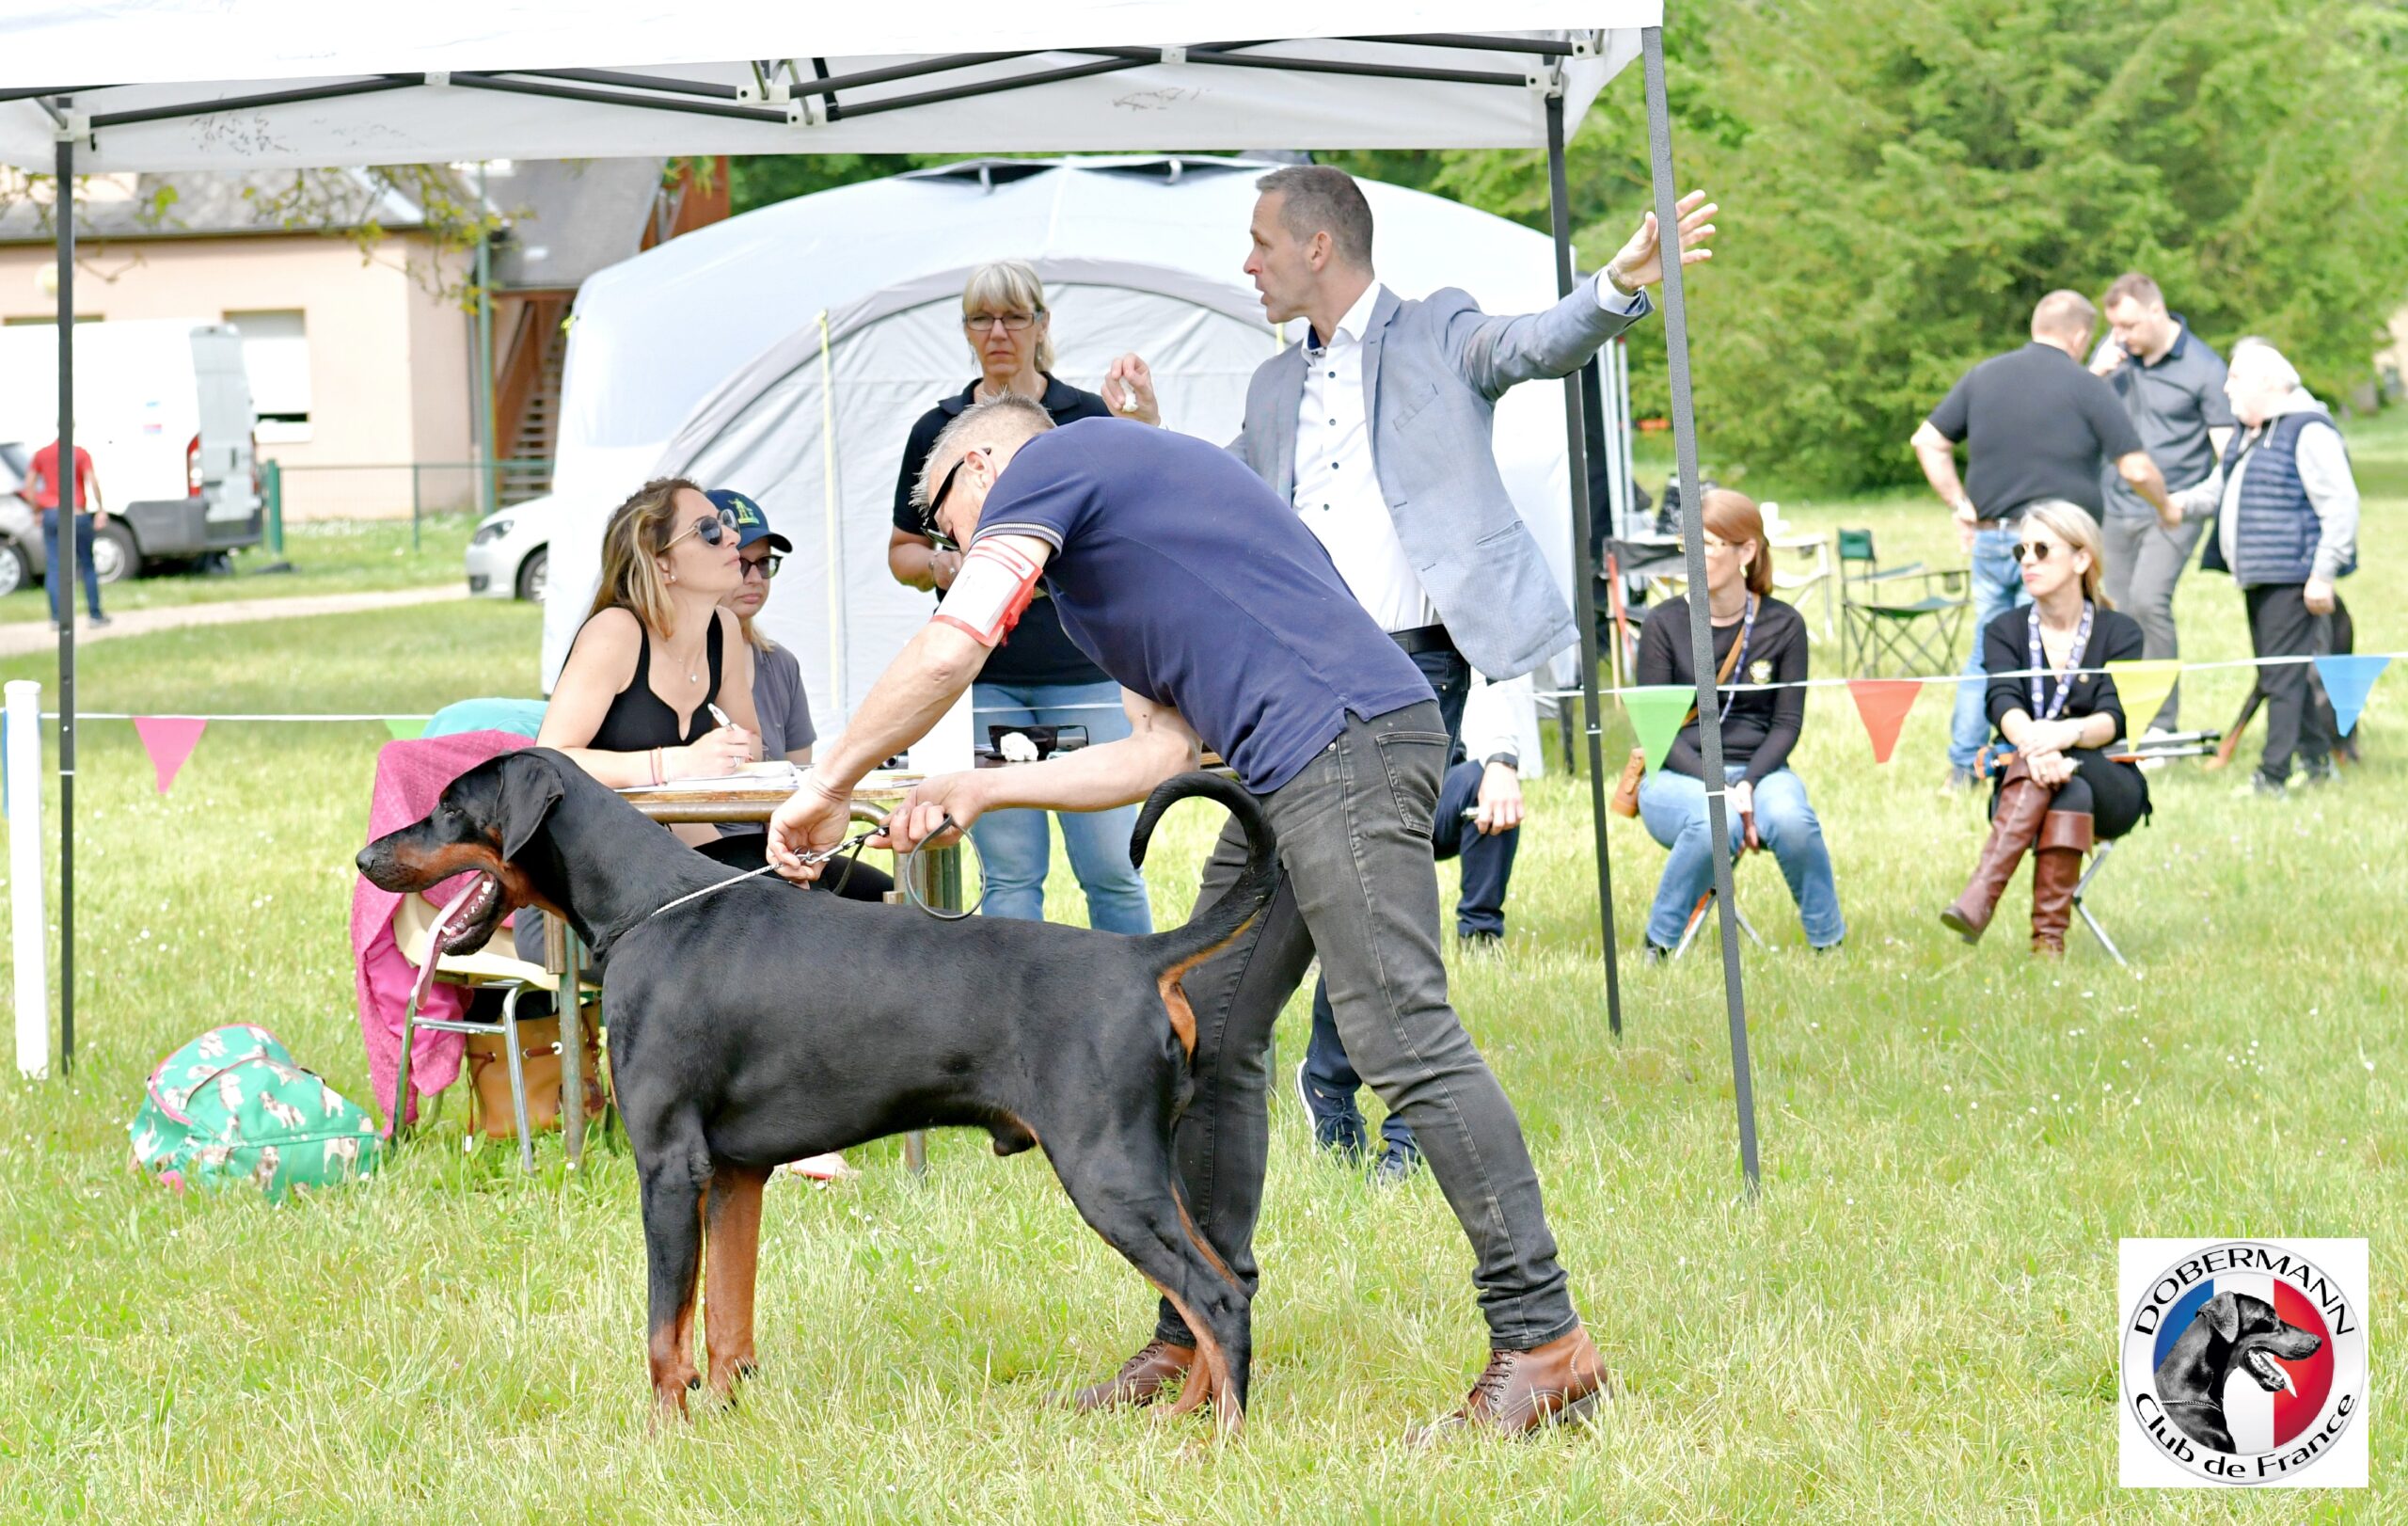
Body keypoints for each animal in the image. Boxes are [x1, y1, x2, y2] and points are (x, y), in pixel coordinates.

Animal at [357, 748, 1276, 1429]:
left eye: (450, 807)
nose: (366, 858)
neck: (652, 909)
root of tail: (1144, 957)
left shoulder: (668, 1166)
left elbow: (663, 1331)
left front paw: (662, 1436)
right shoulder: (733, 1174)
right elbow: (724, 1322)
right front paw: (724, 1420)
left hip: (1106, 1172)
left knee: (1216, 1297)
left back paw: (1220, 1437)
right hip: (1148, 1169)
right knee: (1219, 1284)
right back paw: (1184, 1415)